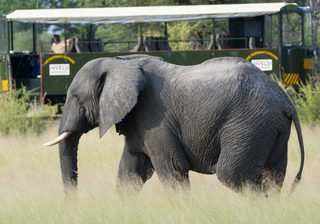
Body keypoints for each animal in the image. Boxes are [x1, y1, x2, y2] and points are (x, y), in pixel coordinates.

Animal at [43, 54, 304, 192]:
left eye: (76, 98)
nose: (73, 201)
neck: (121, 62)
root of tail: (285, 99)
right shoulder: (138, 122)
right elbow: (130, 172)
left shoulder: (155, 118)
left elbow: (172, 169)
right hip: (271, 128)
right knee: (273, 176)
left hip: (248, 124)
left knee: (232, 173)